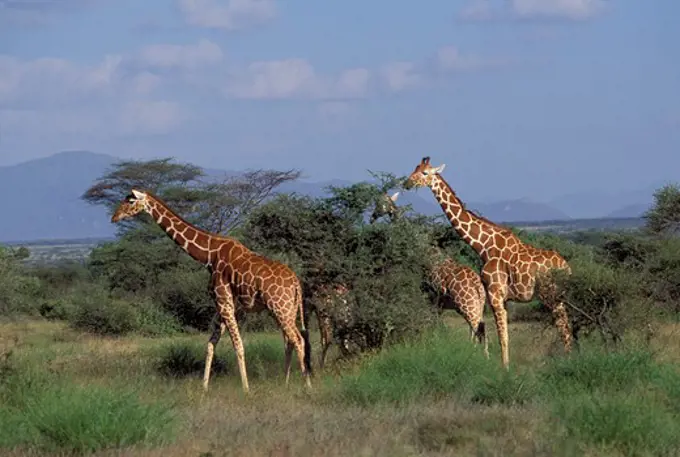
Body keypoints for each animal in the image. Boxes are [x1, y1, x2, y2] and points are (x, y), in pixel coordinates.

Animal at [111, 189, 314, 392]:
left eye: (130, 201)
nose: (114, 217)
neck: (209, 255)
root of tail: (296, 282)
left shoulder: (224, 300)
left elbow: (238, 344)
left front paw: (246, 390)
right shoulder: (223, 304)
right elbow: (210, 344)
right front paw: (204, 388)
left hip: (280, 307)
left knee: (298, 339)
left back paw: (307, 385)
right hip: (285, 308)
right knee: (290, 340)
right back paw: (286, 383)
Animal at [406, 157, 572, 366]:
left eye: (425, 172)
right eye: (415, 169)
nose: (407, 183)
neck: (483, 245)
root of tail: (566, 267)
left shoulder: (494, 294)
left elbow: (501, 336)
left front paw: (504, 369)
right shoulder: (503, 298)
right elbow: (501, 333)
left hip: (551, 295)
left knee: (563, 326)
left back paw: (568, 360)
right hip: (560, 296)